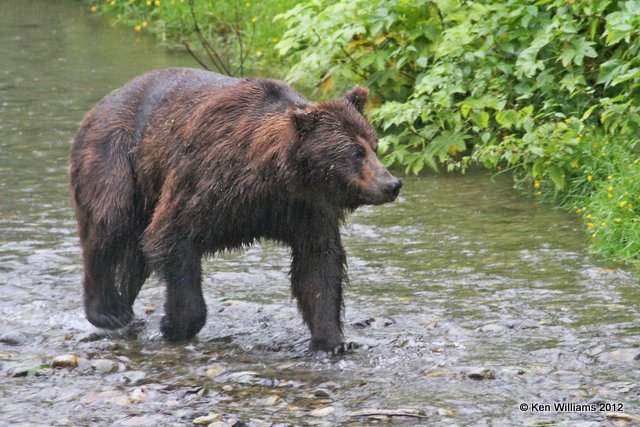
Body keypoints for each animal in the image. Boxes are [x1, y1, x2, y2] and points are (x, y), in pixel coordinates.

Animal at [69, 67, 400, 352]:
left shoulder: (304, 209)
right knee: (111, 224)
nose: (392, 184)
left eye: (374, 146)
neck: (276, 178)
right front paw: (174, 325)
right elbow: (171, 235)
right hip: (117, 155)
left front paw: (332, 341)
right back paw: (107, 311)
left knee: (133, 253)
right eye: (354, 153)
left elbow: (318, 266)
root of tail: (104, 101)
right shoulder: (208, 182)